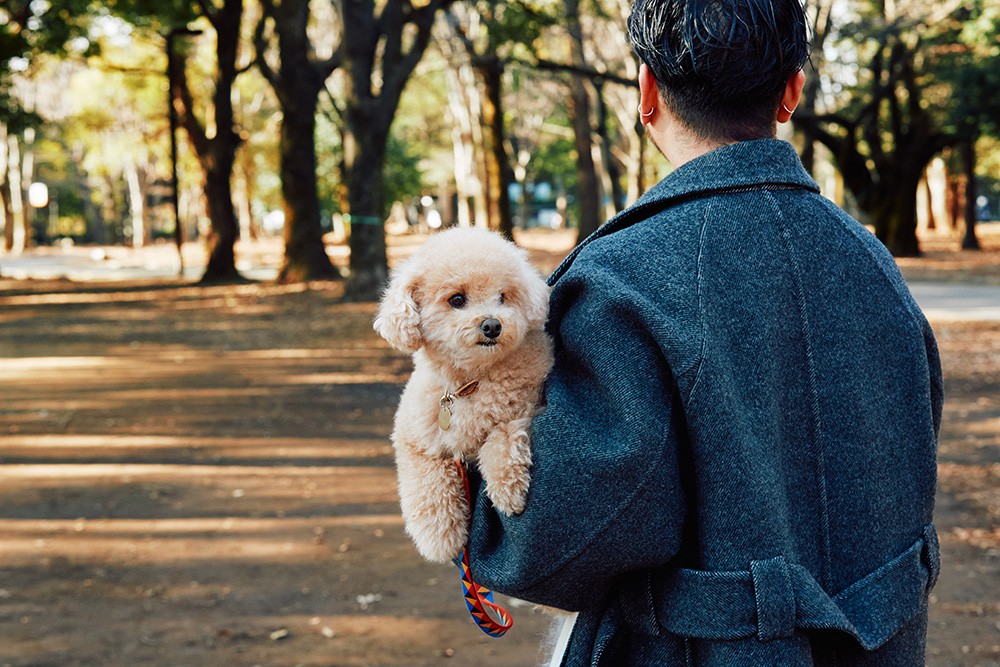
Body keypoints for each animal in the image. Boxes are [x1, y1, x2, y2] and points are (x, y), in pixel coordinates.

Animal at [374, 230, 552, 564]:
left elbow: (501, 436)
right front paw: (439, 537)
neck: (469, 382)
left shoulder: (528, 406)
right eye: (457, 299)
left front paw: (508, 489)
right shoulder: (413, 436)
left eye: (503, 296)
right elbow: (426, 479)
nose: (492, 324)